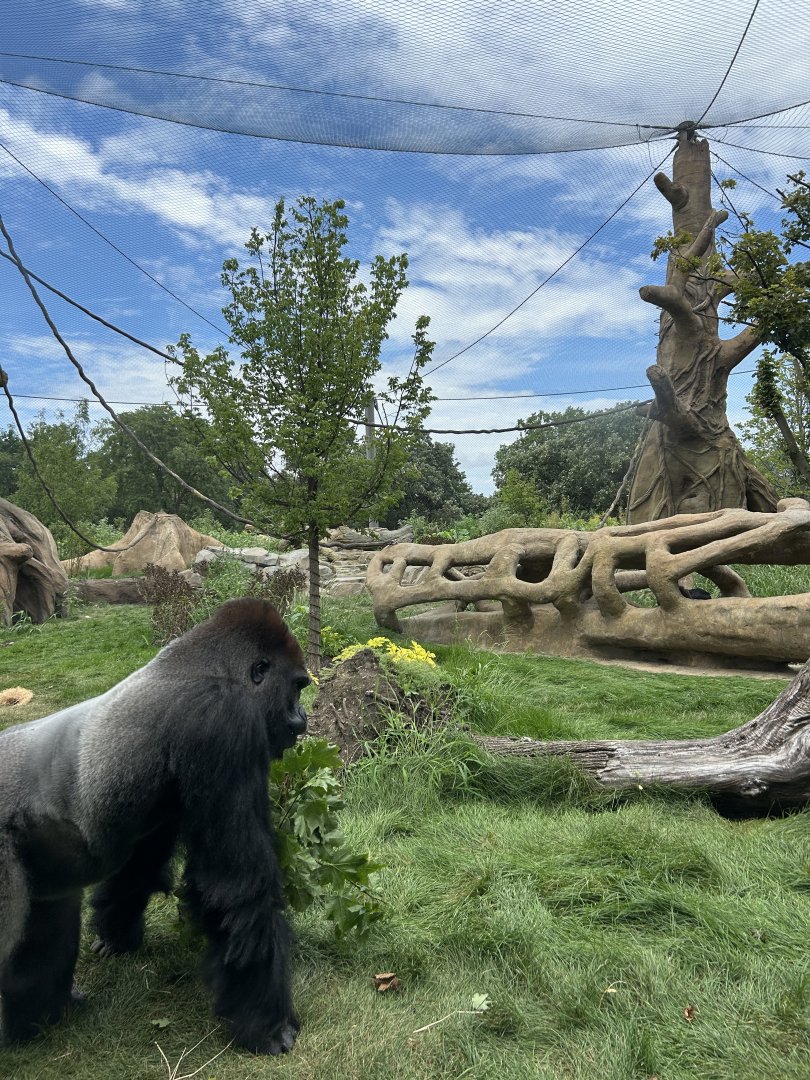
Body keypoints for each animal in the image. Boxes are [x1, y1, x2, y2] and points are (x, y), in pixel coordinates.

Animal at [0, 598, 309, 1055]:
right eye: (298, 687)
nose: (303, 719)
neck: (212, 668)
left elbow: (144, 860)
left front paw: (115, 934)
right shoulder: (225, 720)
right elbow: (237, 885)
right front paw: (267, 1024)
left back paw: (38, 1018)